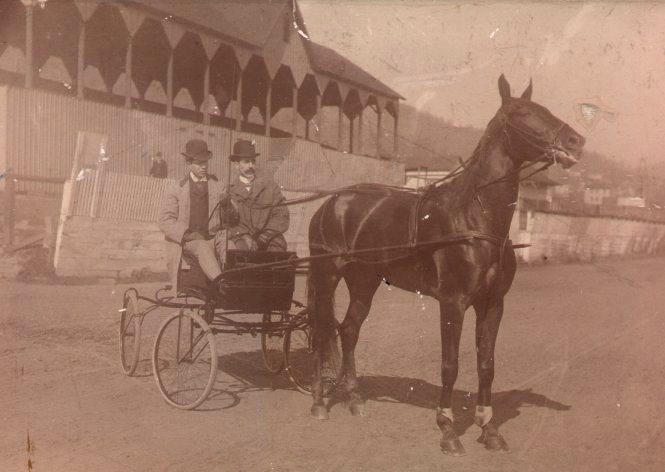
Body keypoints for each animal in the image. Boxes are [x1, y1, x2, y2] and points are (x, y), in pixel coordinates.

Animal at [306, 75, 588, 456]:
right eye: (522, 112)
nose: (575, 141)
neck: (475, 219)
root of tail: (332, 202)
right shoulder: (453, 303)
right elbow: (450, 365)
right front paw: (448, 430)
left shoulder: (492, 304)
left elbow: (486, 364)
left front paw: (489, 429)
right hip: (327, 275)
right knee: (323, 332)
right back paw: (320, 402)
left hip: (364, 279)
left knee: (348, 330)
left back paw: (354, 400)